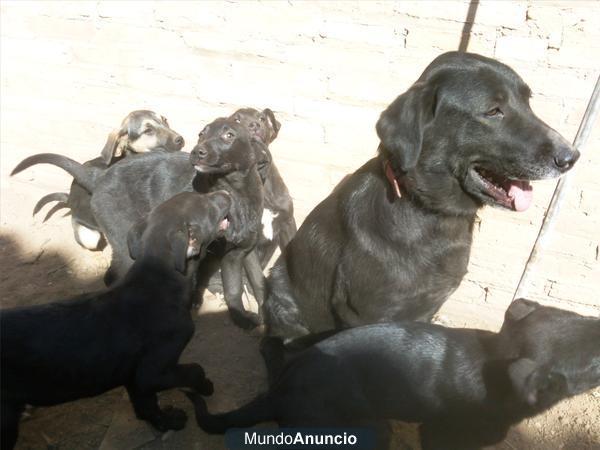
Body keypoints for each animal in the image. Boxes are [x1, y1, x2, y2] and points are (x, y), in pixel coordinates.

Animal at [0, 191, 232, 450]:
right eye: (207, 205)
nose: (226, 193)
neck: (159, 278)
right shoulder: (153, 371)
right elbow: (194, 370)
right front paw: (206, 386)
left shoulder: (134, 376)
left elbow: (145, 407)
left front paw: (167, 421)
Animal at [188, 298, 600, 450]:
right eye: (594, 365)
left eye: (582, 314)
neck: (495, 361)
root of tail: (278, 392)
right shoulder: (441, 436)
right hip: (370, 427)